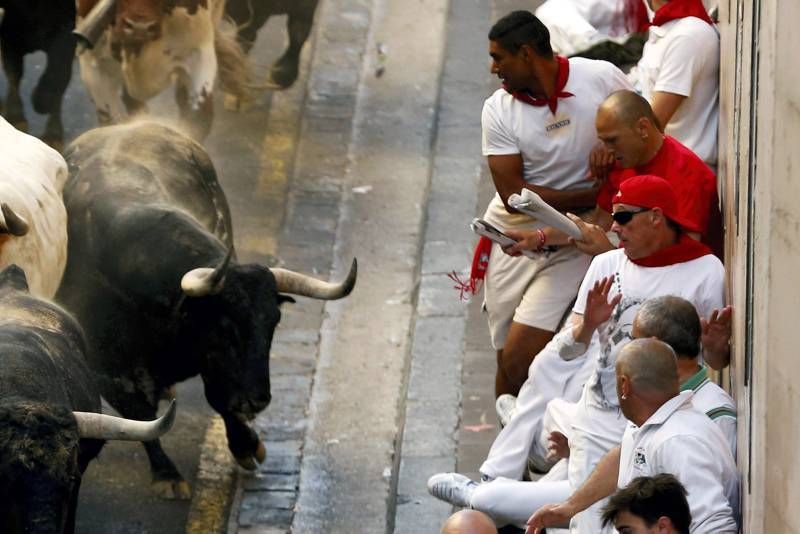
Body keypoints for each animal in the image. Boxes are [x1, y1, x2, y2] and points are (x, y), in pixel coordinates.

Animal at [56, 120, 356, 498]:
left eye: (274, 322)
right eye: (226, 327)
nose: (258, 400)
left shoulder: (211, 362)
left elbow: (218, 398)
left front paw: (245, 445)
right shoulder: (107, 370)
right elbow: (142, 419)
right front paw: (166, 474)